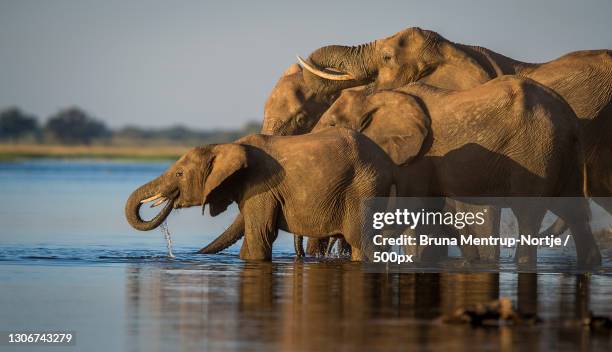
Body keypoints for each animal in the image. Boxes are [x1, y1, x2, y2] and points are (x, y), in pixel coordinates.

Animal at [125, 127, 396, 262]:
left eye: (180, 173)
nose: (172, 255)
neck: (228, 146)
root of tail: (390, 163)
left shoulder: (262, 187)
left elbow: (259, 234)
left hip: (364, 188)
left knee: (362, 242)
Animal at [316, 75, 604, 266]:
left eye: (332, 124)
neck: (380, 95)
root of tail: (570, 117)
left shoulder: (420, 157)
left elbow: (413, 209)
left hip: (536, 151)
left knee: (529, 215)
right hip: (563, 155)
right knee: (574, 212)